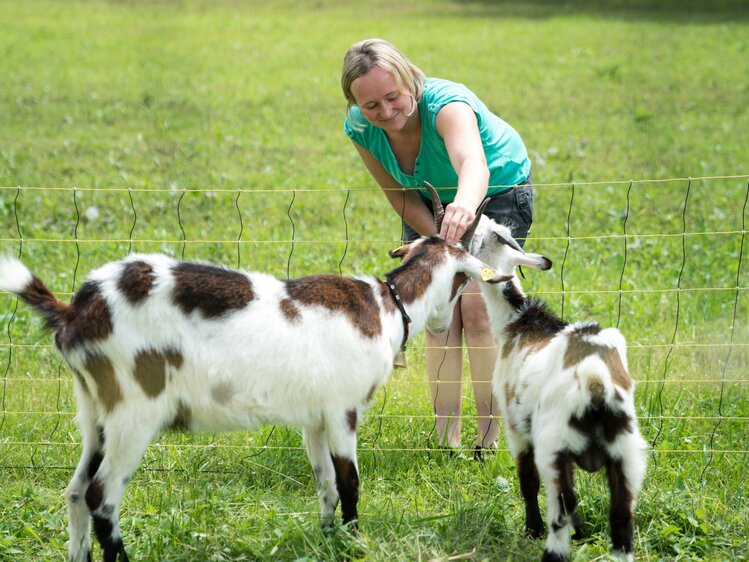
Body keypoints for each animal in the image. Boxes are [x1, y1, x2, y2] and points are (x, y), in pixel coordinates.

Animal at [1, 194, 502, 560]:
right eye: (462, 280)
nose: (443, 323)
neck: (385, 305)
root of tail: (76, 311)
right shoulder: (343, 409)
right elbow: (349, 482)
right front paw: (356, 543)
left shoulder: (313, 419)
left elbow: (324, 483)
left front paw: (328, 540)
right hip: (133, 411)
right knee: (101, 497)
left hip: (94, 411)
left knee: (75, 492)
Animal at [470, 218, 644, 560]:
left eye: (477, 238)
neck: (519, 319)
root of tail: (595, 381)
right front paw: (580, 532)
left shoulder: (516, 427)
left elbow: (527, 480)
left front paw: (532, 529)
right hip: (627, 450)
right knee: (621, 511)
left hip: (554, 444)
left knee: (562, 501)